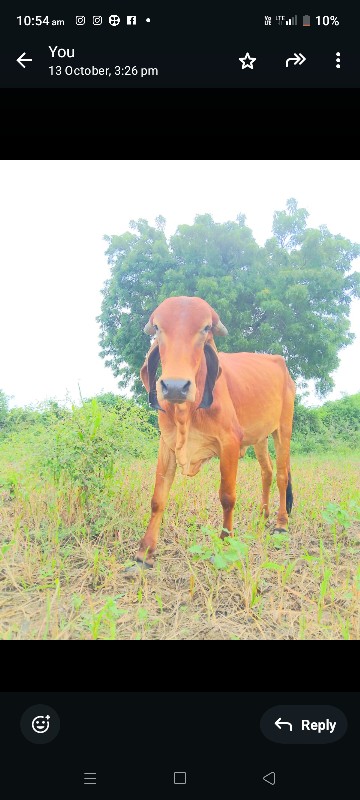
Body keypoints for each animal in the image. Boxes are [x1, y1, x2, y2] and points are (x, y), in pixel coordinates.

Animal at [137, 296, 296, 564]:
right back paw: (262, 516)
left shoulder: (230, 443)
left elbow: (227, 496)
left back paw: (281, 523)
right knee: (267, 472)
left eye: (205, 329)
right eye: (158, 328)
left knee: (283, 475)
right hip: (260, 437)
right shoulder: (167, 443)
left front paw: (225, 541)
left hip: (283, 428)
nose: (175, 387)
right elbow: (158, 498)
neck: (186, 412)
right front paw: (145, 551)